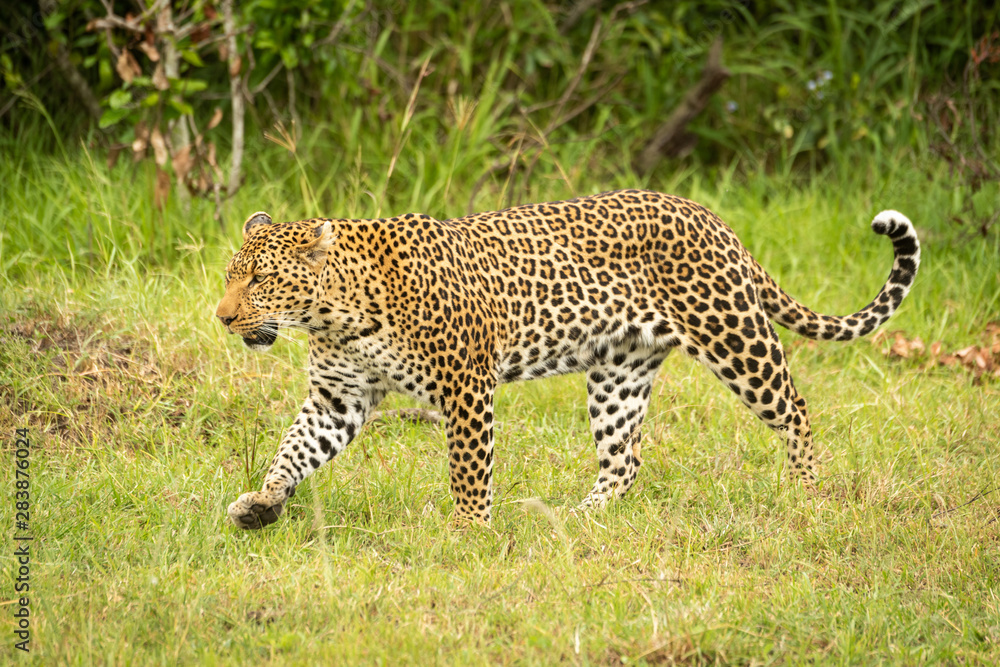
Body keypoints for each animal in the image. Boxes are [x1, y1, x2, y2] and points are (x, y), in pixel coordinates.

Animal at [216, 189, 919, 529]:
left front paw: (469, 532)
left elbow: (468, 470)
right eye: (230, 276)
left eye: (259, 280)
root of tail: (712, 218)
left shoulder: (466, 387)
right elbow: (292, 450)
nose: (221, 317)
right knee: (625, 460)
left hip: (733, 336)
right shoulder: (340, 398)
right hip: (619, 372)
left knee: (795, 409)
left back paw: (808, 494)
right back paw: (577, 519)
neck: (336, 313)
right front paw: (263, 504)